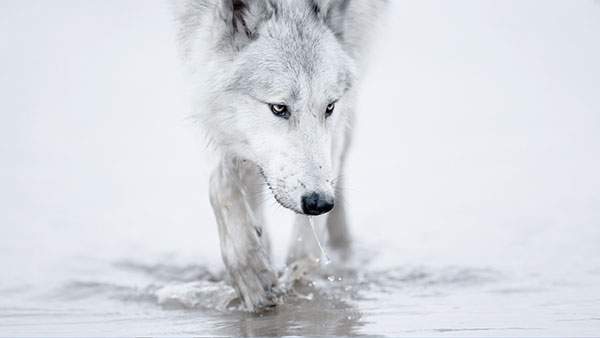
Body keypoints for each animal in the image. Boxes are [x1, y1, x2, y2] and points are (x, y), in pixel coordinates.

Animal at [172, 0, 390, 312]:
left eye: (330, 107)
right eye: (278, 108)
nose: (319, 202)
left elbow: (306, 248)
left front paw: (296, 279)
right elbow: (222, 180)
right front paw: (251, 269)